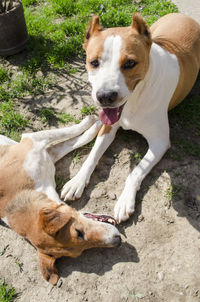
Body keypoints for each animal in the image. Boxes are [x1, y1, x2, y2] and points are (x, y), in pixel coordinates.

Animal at [0, 114, 121, 284]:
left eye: (78, 232)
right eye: (79, 252)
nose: (118, 241)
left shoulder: (34, 140)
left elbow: (72, 135)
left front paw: (92, 123)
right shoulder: (43, 149)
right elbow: (72, 139)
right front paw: (94, 126)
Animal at [61, 13, 200, 223]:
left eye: (130, 63)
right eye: (94, 62)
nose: (105, 97)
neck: (136, 99)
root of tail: (184, 16)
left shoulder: (160, 142)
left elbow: (136, 171)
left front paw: (125, 201)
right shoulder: (108, 127)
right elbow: (92, 155)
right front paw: (77, 181)